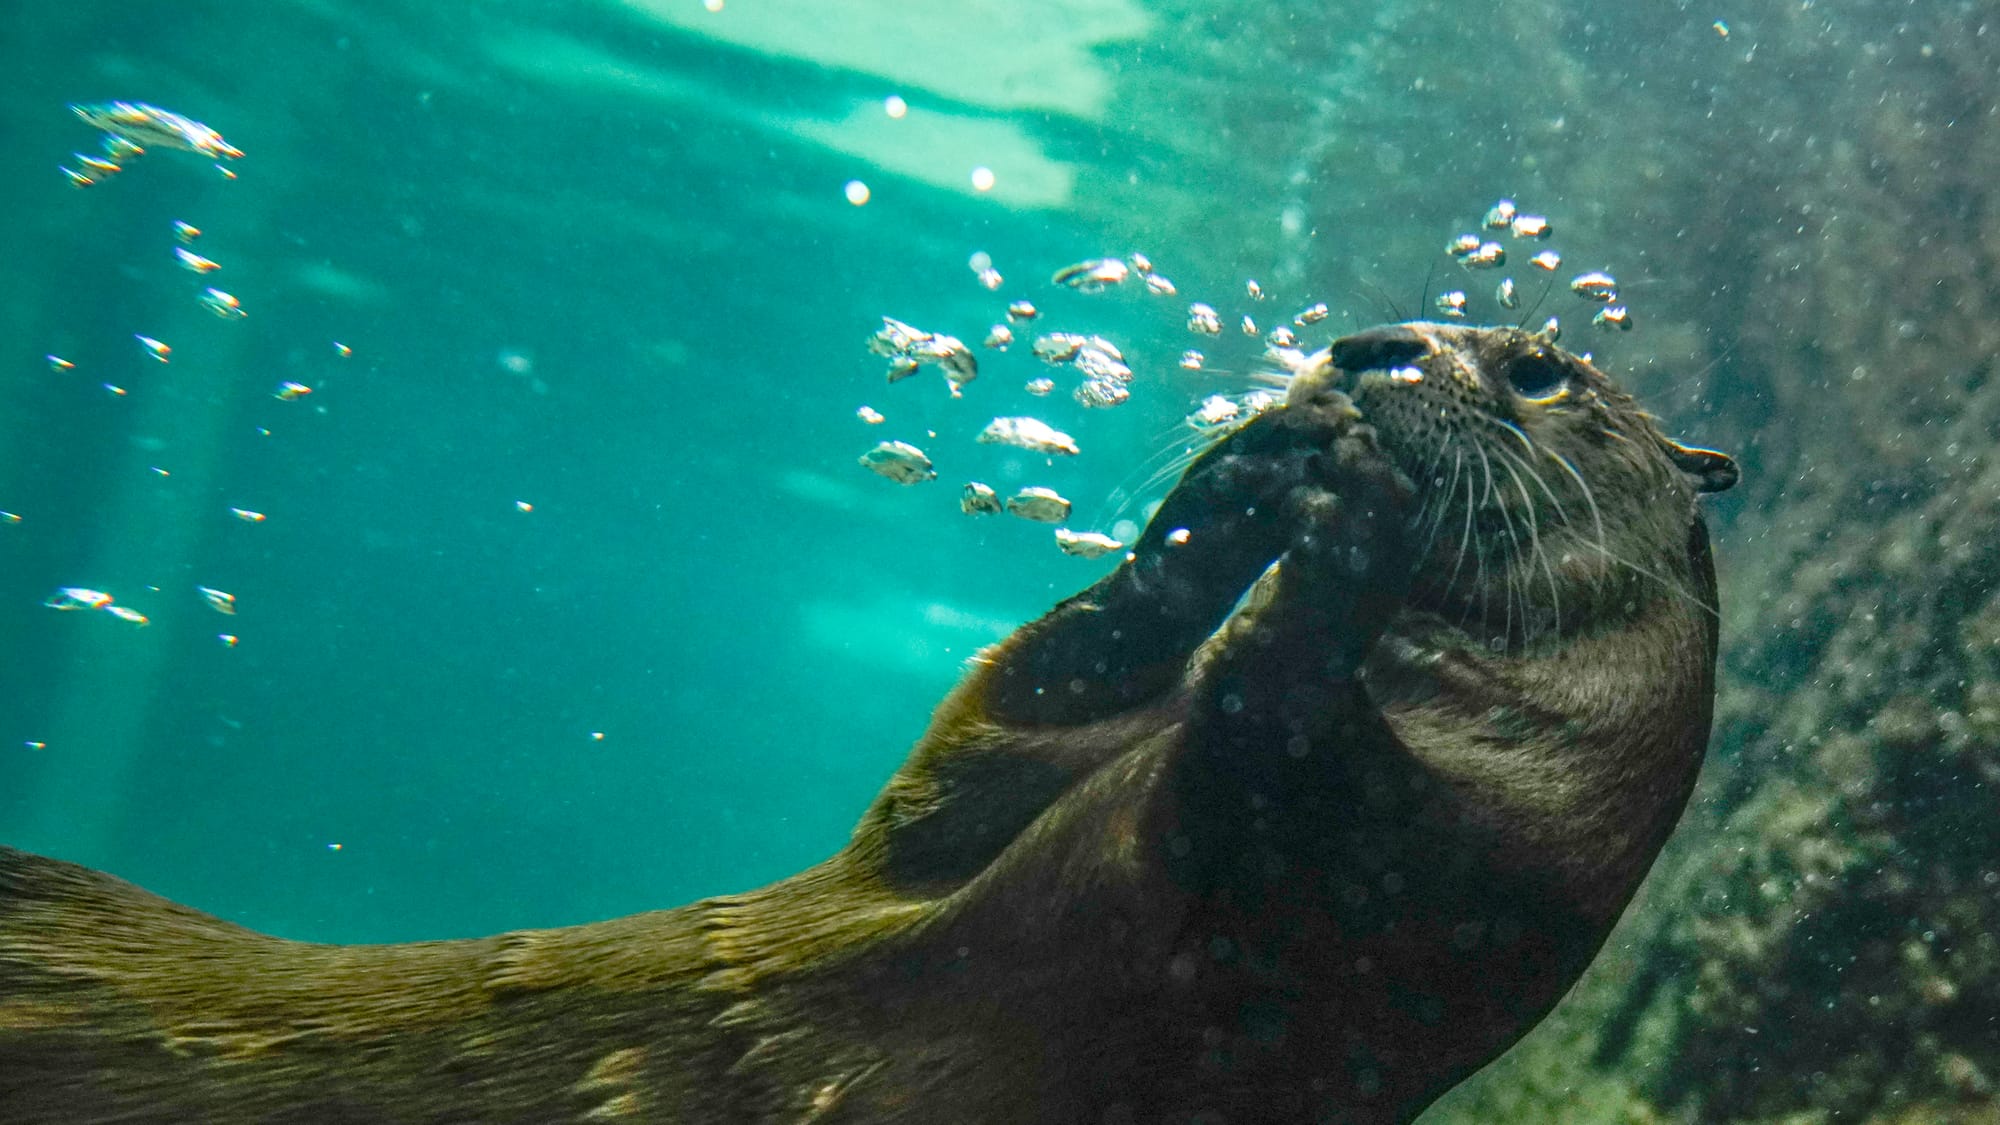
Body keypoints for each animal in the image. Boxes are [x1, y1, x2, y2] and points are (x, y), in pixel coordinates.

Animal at [0, 322, 1736, 1124]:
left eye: (1539, 366)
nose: (1372, 347)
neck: (1525, 764)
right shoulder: (954, 807)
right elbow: (1014, 704)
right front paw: (1237, 484)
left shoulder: (1414, 895)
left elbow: (1274, 748)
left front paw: (1352, 516)